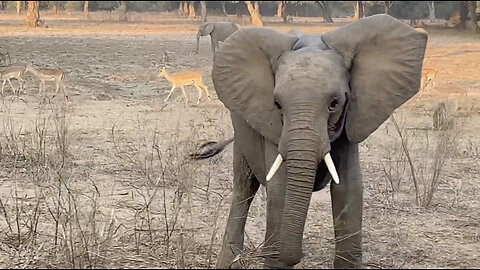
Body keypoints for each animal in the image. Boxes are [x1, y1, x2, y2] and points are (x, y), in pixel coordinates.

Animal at [191, 14, 428, 268]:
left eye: (334, 104)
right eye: (277, 105)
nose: (298, 255)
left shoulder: (352, 119)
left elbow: (349, 188)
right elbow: (280, 189)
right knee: (244, 187)